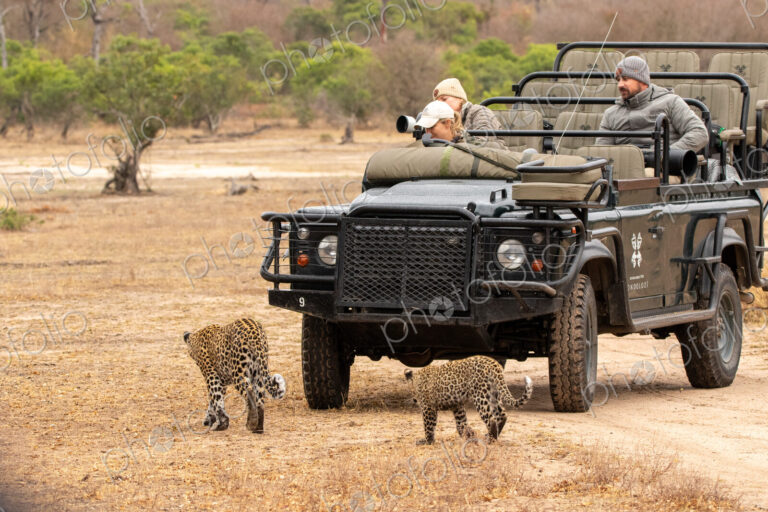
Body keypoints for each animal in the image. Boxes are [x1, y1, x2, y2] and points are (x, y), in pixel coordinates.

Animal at [404, 356, 533, 445]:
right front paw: (469, 436)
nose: (414, 400)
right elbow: (461, 424)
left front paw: (427, 441)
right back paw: (493, 437)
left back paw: (490, 440)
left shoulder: (428, 408)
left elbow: (429, 426)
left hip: (481, 396)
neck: (417, 380)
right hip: (494, 394)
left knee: (491, 418)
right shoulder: (457, 406)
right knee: (502, 415)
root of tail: (492, 363)